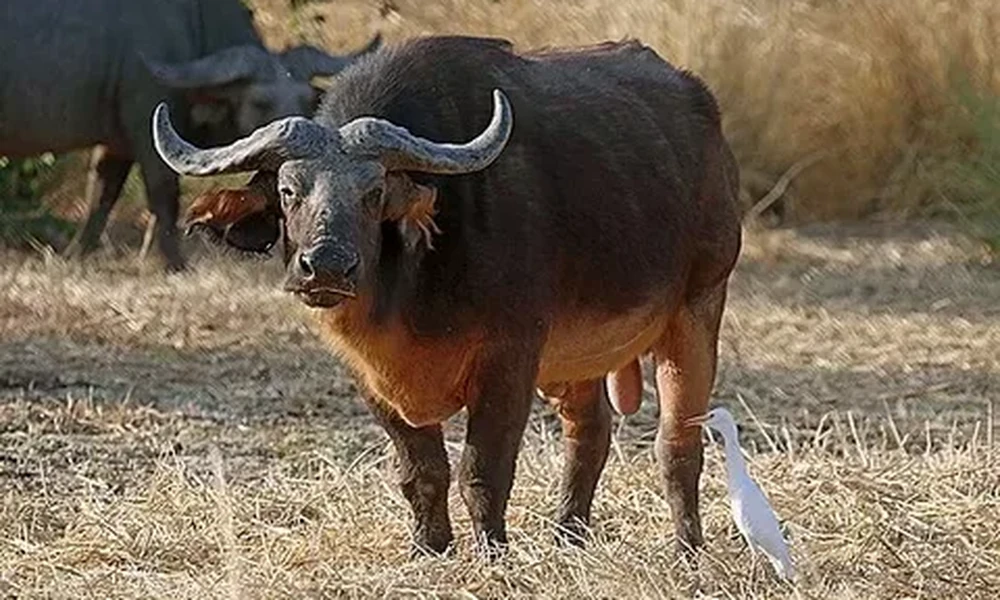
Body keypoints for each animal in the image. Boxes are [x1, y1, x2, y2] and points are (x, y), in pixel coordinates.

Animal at [0, 0, 380, 271]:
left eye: (305, 99)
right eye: (260, 102)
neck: (192, 26)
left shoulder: (116, 144)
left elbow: (101, 194)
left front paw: (76, 254)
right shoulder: (146, 128)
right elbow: (164, 194)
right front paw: (174, 263)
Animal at [152, 36, 742, 557]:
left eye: (373, 193)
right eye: (287, 191)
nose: (326, 266)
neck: (409, 291)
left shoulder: (510, 359)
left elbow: (482, 469)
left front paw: (491, 551)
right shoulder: (372, 378)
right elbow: (422, 471)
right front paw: (429, 547)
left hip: (697, 308)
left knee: (677, 444)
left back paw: (686, 547)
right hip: (575, 357)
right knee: (590, 430)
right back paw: (567, 537)